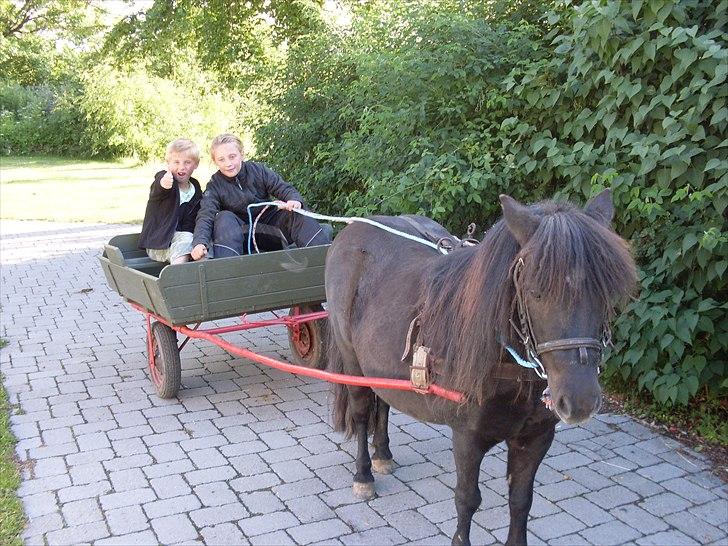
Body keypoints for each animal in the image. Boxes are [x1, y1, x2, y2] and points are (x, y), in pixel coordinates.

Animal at [326, 190, 636, 544]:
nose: (580, 400)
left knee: (384, 402)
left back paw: (383, 455)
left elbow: (521, 500)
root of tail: (352, 230)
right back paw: (364, 474)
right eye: (535, 291)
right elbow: (467, 499)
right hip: (352, 361)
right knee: (363, 411)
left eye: (606, 291)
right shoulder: (467, 436)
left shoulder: (536, 437)